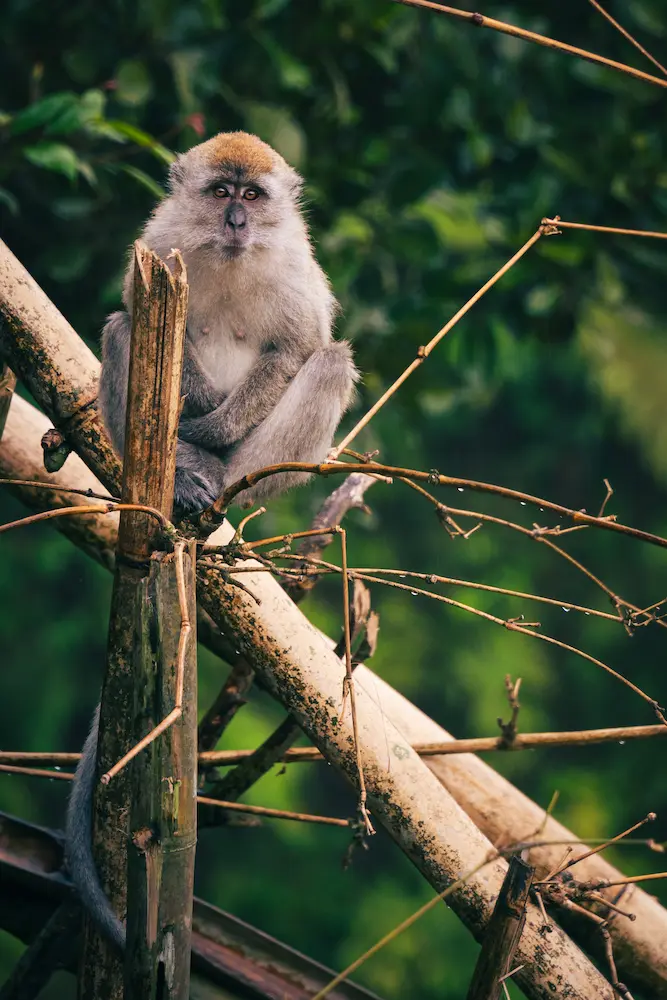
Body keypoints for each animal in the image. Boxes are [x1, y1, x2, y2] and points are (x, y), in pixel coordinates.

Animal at [66, 131, 358, 949]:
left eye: (253, 197)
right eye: (221, 191)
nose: (234, 220)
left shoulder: (291, 270)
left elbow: (294, 348)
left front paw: (213, 426)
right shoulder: (159, 242)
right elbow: (141, 311)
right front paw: (191, 418)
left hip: (263, 477)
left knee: (328, 361)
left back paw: (218, 483)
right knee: (122, 327)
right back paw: (178, 478)